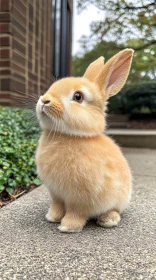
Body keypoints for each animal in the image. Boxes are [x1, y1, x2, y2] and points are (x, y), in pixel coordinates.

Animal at [35, 49, 134, 233]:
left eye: (78, 96)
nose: (44, 100)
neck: (71, 135)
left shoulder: (80, 197)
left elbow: (76, 212)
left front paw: (67, 227)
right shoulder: (56, 193)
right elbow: (57, 205)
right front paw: (52, 217)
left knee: (114, 210)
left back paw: (108, 220)